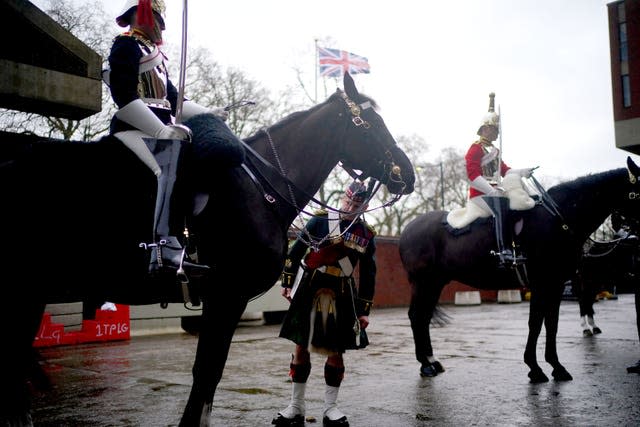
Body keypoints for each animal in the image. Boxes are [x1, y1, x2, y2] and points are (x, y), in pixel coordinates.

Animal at [0, 72, 416, 426]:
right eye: (372, 124)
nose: (407, 173)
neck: (260, 189)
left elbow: (209, 377)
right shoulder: (226, 296)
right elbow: (207, 373)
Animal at [398, 158, 640, 384]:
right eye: (636, 192)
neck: (558, 219)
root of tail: (408, 228)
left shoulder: (555, 284)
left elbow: (551, 324)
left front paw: (556, 366)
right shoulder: (542, 284)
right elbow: (536, 324)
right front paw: (535, 368)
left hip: (435, 283)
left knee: (424, 316)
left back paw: (432, 361)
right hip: (422, 282)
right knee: (416, 316)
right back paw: (425, 365)